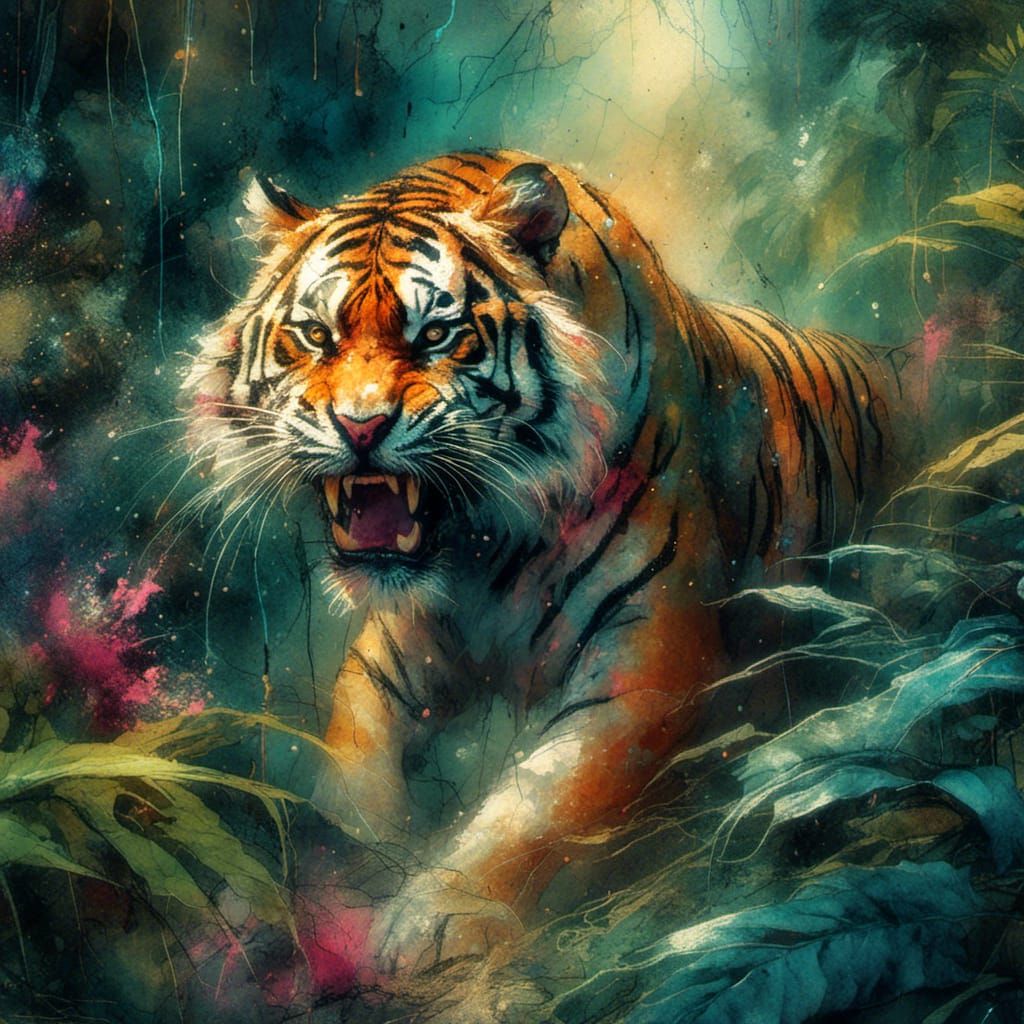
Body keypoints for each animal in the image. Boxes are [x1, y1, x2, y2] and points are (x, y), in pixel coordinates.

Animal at [184, 150, 913, 970]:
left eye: (436, 334)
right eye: (314, 335)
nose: (360, 426)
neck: (481, 544)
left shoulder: (647, 670)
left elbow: (533, 807)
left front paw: (436, 918)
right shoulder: (393, 655)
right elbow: (352, 773)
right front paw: (345, 871)